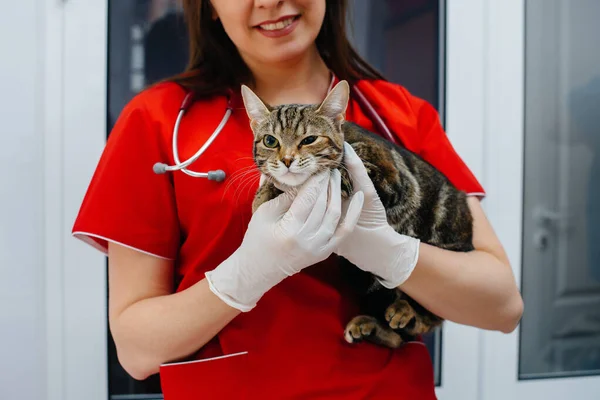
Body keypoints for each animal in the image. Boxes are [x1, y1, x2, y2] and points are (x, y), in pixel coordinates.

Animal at [239, 79, 474, 348]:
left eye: (309, 139)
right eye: (270, 141)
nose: (287, 160)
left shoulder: (394, 179)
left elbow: (347, 169)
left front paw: (335, 177)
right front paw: (263, 197)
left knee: (426, 318)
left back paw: (405, 310)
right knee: (397, 338)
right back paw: (371, 326)